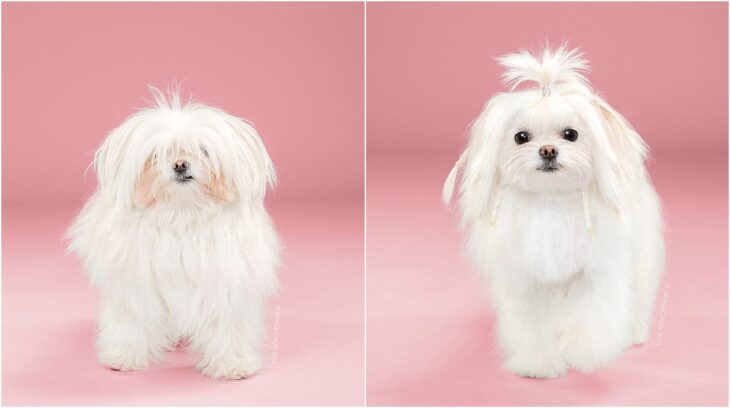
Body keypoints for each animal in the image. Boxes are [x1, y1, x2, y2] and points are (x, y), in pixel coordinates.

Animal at [67, 89, 278, 380]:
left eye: (204, 151)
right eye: (158, 155)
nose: (180, 165)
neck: (182, 212)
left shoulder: (224, 284)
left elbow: (227, 327)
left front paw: (231, 364)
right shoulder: (137, 286)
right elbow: (132, 322)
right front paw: (125, 356)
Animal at [440, 46, 664, 378]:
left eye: (570, 134)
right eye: (521, 137)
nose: (547, 150)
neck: (552, 200)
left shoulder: (596, 272)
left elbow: (592, 314)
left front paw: (583, 351)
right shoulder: (526, 284)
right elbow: (533, 326)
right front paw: (538, 364)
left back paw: (633, 335)